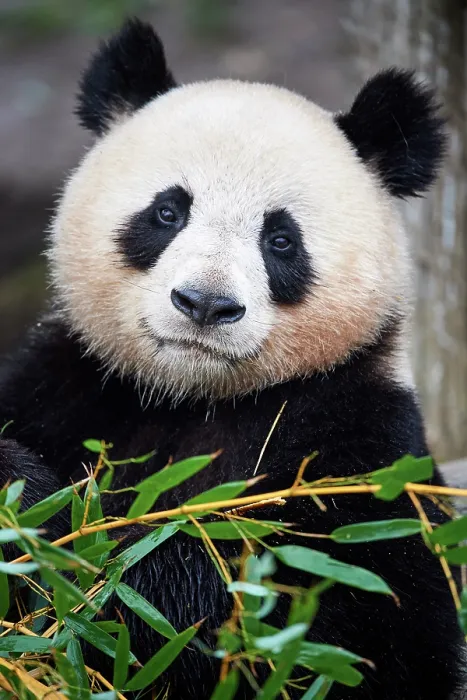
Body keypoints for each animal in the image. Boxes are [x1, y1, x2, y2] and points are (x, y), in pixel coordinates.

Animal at [0, 17, 463, 700]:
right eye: (167, 211)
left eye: (281, 240)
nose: (206, 304)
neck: (191, 397)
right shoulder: (68, 382)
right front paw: (31, 496)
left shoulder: (362, 447)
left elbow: (347, 631)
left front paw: (77, 542)